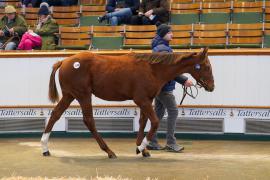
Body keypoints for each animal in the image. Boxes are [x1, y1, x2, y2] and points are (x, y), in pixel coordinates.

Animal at [40, 47, 213, 158]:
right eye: (206, 66)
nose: (212, 86)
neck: (152, 69)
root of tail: (64, 61)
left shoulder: (147, 100)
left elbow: (143, 122)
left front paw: (142, 149)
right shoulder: (141, 100)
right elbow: (155, 122)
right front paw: (141, 147)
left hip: (69, 95)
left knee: (55, 114)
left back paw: (45, 148)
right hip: (83, 95)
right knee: (88, 120)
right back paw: (109, 151)